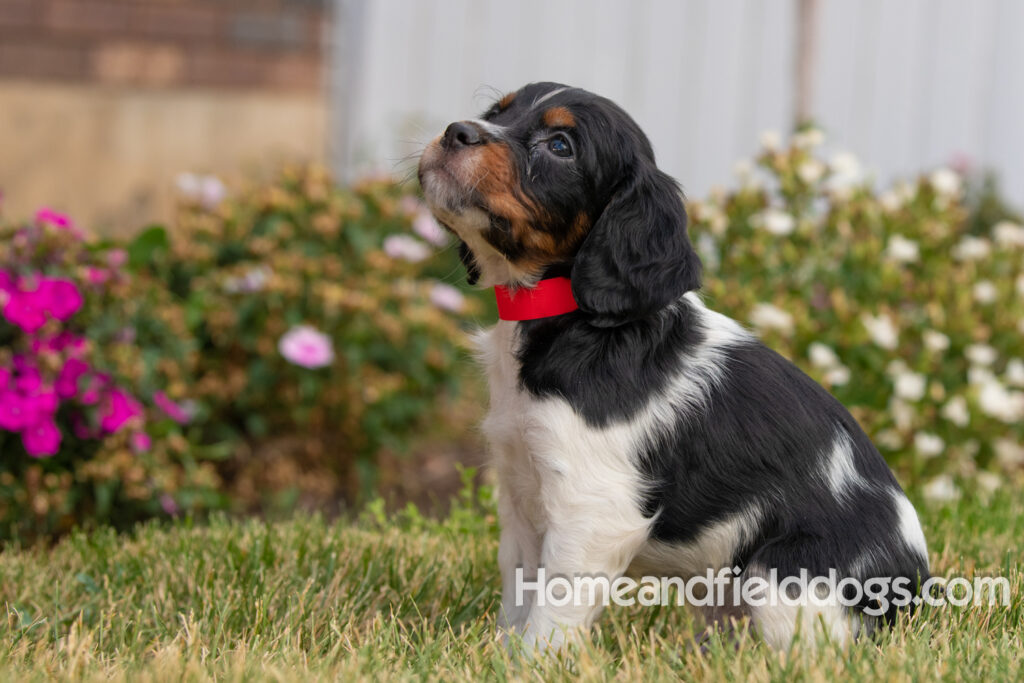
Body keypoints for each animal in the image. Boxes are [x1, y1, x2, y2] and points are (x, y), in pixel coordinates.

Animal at [413, 81, 929, 651]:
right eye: (495, 112)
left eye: (560, 146)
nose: (457, 131)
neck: (571, 319)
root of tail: (916, 594)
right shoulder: (521, 490)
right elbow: (519, 591)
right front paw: (498, 656)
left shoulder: (592, 509)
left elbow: (553, 609)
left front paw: (533, 661)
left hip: (782, 576)